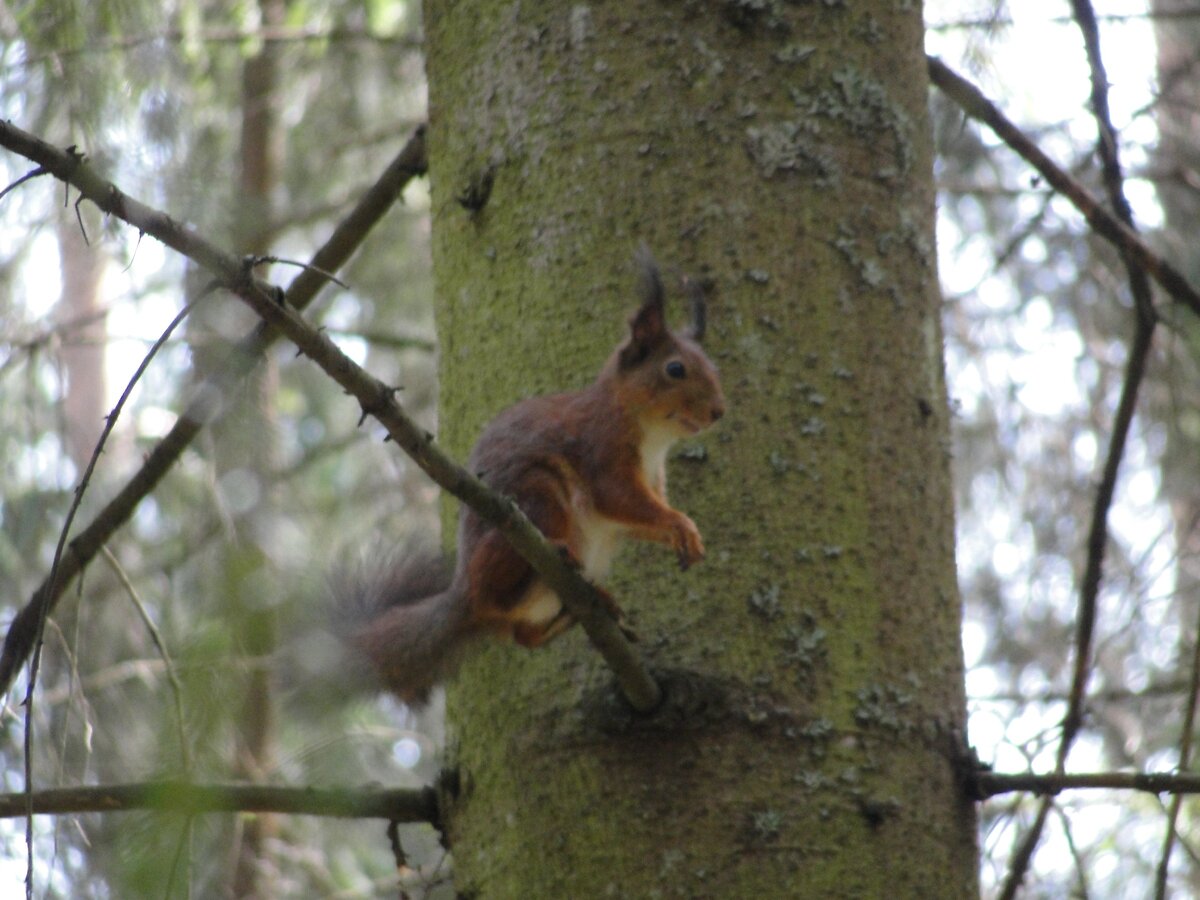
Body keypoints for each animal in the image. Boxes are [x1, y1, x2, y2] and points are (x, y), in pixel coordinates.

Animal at [340, 250, 729, 710]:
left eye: (712, 366)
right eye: (675, 369)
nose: (719, 411)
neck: (652, 436)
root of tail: (463, 595)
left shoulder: (652, 478)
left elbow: (636, 515)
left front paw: (684, 535)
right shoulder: (601, 451)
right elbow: (617, 497)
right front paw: (680, 525)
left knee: (522, 634)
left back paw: (590, 607)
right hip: (537, 501)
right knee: (501, 597)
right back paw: (558, 557)